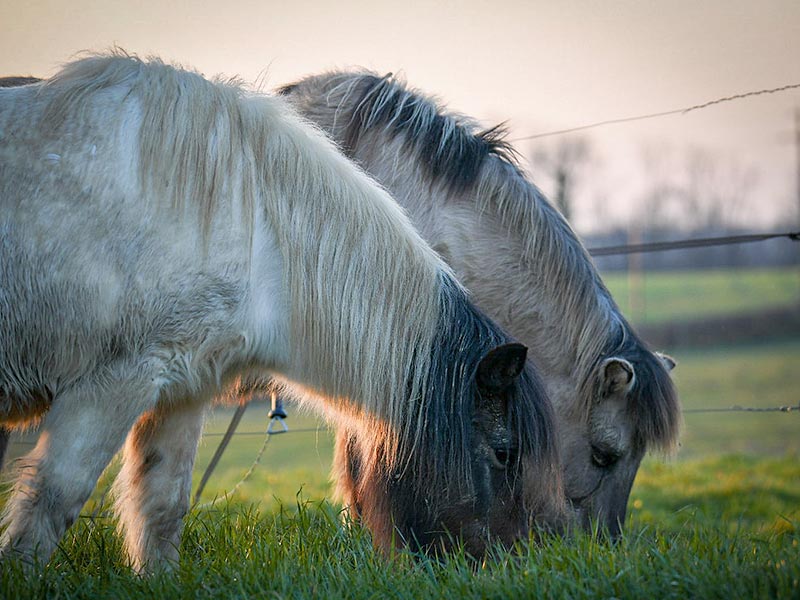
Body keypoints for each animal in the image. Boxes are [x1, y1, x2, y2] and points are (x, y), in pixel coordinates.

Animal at [0, 54, 564, 568]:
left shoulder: (181, 390)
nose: (516, 562)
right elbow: (53, 500)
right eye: (504, 453)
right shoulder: (111, 384)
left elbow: (160, 507)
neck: (254, 225)